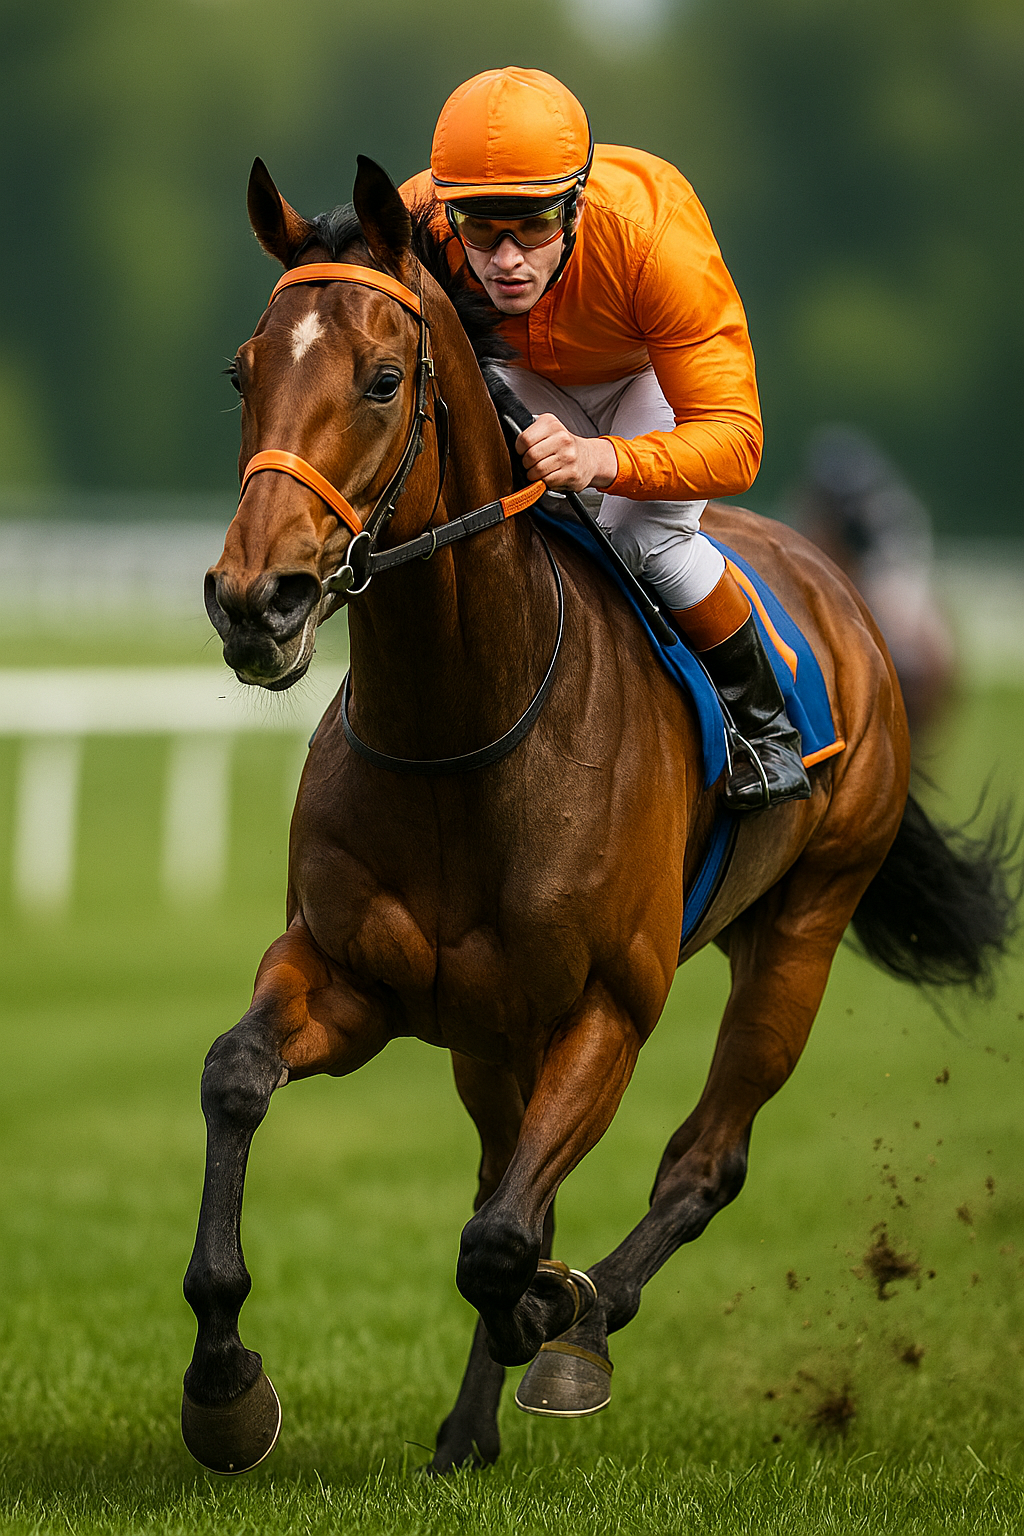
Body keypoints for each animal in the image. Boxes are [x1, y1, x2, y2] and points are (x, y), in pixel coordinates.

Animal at [181, 156, 1016, 1476]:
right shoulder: (346, 974)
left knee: (701, 1161)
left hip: (802, 926)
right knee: (506, 1168)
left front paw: (549, 1315)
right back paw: (468, 1428)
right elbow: (237, 1076)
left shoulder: (609, 1007)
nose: (256, 601)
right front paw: (223, 1384)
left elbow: (500, 1243)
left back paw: (577, 1325)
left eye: (381, 379)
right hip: (487, 1031)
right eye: (242, 371)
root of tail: (839, 591)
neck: (461, 728)